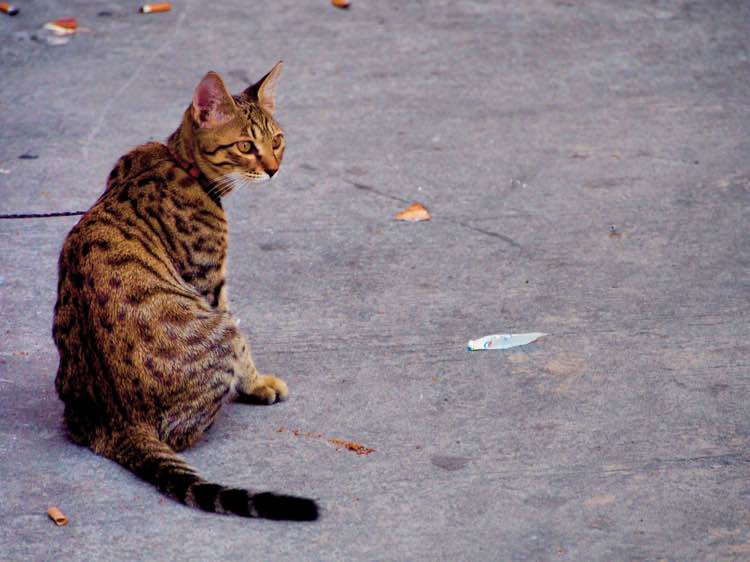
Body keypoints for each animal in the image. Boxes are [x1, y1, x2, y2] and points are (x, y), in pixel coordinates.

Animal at [52, 62, 318, 521]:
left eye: (277, 140)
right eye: (246, 146)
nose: (273, 168)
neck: (180, 162)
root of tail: (118, 424)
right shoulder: (209, 283)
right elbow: (244, 344)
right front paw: (256, 383)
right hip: (214, 329)